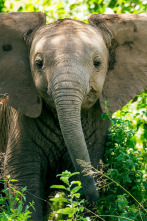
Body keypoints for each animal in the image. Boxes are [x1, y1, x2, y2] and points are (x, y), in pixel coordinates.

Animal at [0, 12, 146, 220]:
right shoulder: (19, 120)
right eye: (38, 64)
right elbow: (22, 179)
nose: (97, 194)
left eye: (97, 63)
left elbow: (88, 166)